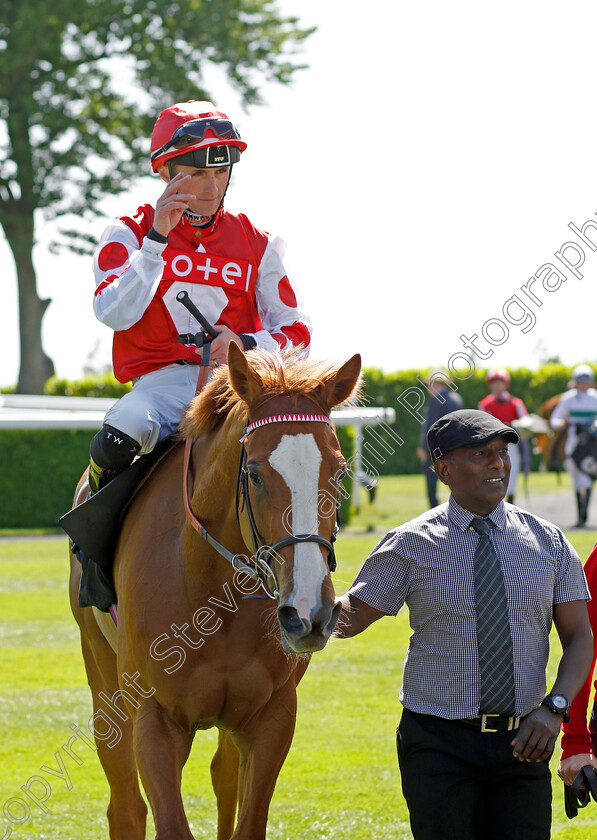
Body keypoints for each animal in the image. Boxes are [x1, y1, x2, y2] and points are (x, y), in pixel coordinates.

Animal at [68, 342, 360, 840]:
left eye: (339, 473)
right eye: (256, 474)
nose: (309, 613)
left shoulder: (271, 716)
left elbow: (246, 816)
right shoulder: (155, 719)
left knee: (223, 778)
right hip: (101, 671)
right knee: (125, 806)